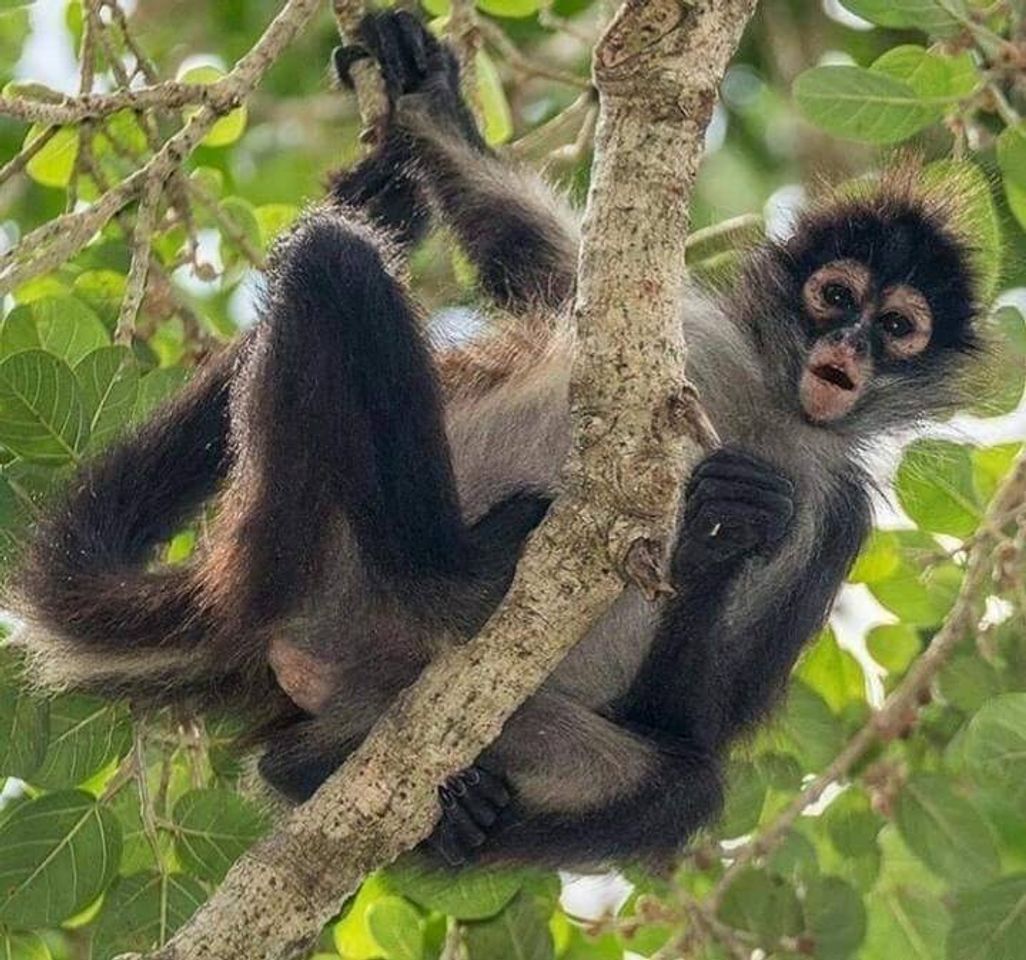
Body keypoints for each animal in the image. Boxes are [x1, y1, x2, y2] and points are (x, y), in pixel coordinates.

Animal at [10, 11, 984, 869]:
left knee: (680, 787)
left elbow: (686, 726)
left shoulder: (839, 510)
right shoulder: (688, 326)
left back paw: (364, 785)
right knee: (335, 260)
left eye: (898, 326)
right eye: (834, 294)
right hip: (300, 537)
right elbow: (540, 256)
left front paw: (729, 529)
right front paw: (428, 96)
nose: (847, 346)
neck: (774, 407)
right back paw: (451, 575)